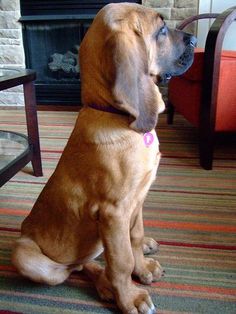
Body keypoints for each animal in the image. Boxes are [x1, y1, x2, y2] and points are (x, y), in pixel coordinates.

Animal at [12, 3, 195, 314]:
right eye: (161, 30)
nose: (195, 39)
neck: (118, 117)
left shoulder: (137, 199)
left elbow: (134, 238)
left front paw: (142, 267)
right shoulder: (113, 211)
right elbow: (121, 262)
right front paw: (130, 297)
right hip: (26, 256)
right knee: (78, 266)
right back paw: (106, 286)